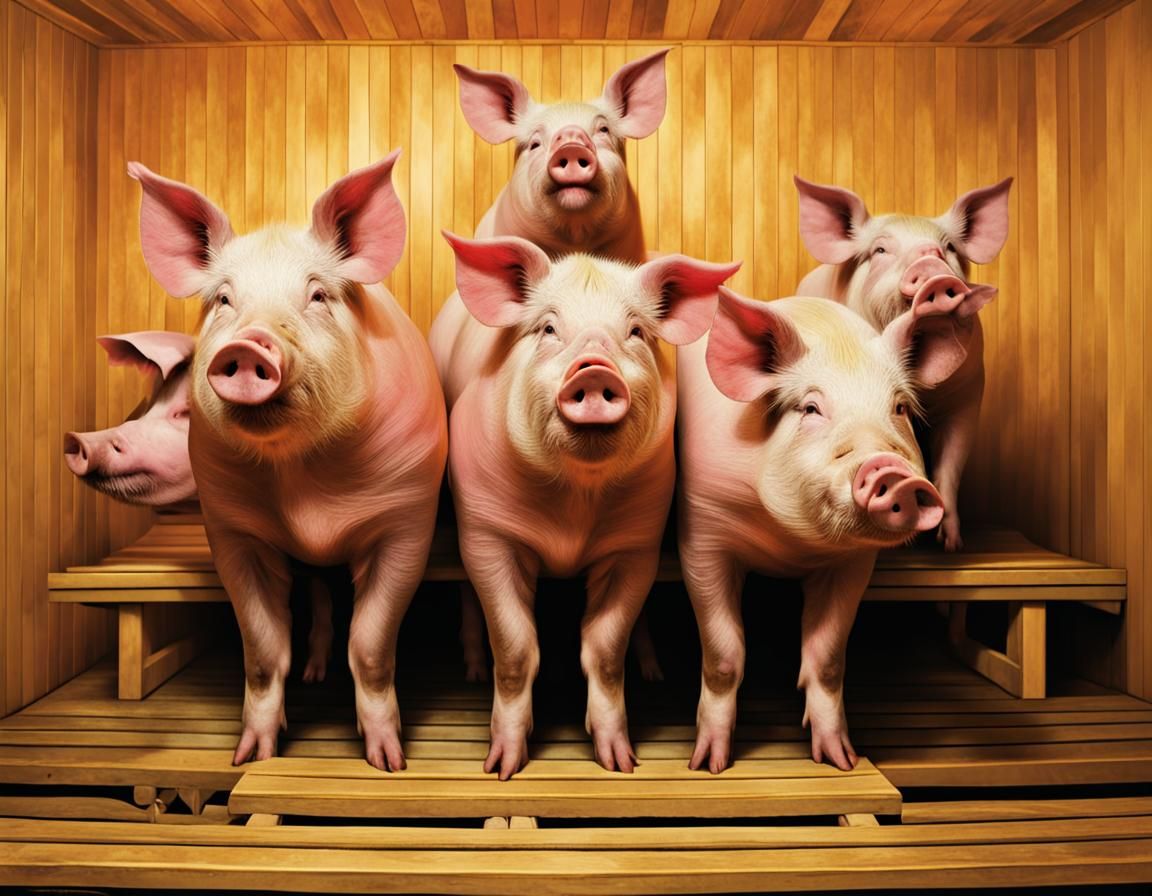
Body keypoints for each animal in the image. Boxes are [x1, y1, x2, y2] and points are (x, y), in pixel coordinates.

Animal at [129, 151, 448, 770]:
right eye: (224, 300)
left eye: (318, 295)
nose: (247, 346)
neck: (303, 484)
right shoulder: (231, 529)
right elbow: (263, 649)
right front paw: (250, 758)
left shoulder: (406, 521)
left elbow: (369, 644)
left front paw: (389, 763)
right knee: (319, 598)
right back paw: (313, 675)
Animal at [437, 230, 738, 779]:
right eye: (549, 328)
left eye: (636, 332)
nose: (595, 371)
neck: (573, 516)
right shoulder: (487, 532)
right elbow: (515, 646)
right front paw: (502, 769)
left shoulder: (636, 546)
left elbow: (603, 648)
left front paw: (621, 764)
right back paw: (472, 670)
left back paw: (653, 672)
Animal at [678, 283, 990, 773]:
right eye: (811, 407)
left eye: (899, 407)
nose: (891, 471)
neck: (789, 546)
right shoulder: (702, 530)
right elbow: (724, 654)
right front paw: (707, 766)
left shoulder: (854, 561)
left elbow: (826, 658)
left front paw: (841, 761)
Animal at [793, 176, 1012, 551]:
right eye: (880, 250)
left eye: (949, 248)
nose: (929, 262)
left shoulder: (967, 396)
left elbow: (950, 462)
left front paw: (950, 546)